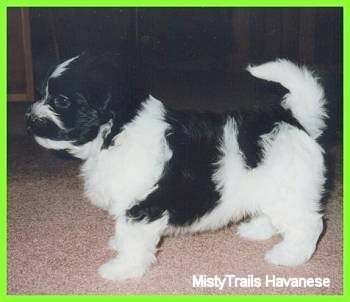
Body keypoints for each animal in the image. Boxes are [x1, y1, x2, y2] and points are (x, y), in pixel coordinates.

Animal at [25, 52, 328, 280]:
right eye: (41, 94)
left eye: (61, 101)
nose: (29, 119)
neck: (117, 131)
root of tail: (292, 119)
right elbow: (124, 232)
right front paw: (118, 246)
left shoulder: (141, 206)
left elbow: (133, 239)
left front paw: (122, 269)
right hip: (272, 187)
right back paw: (258, 231)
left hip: (289, 189)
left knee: (308, 224)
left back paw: (290, 255)